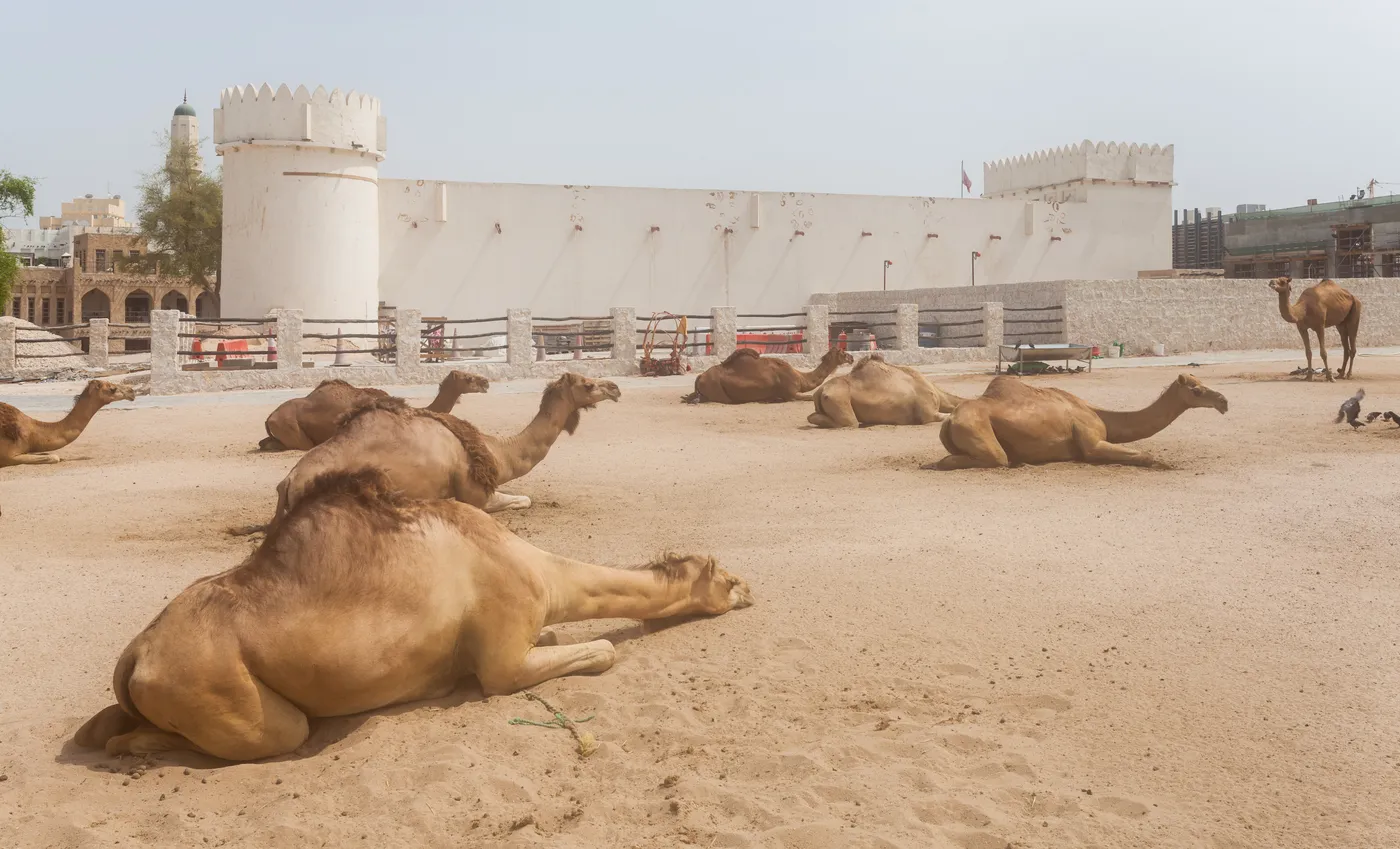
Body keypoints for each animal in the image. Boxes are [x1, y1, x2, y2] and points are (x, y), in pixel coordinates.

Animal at [73, 468, 752, 762]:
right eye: (727, 577)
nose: (748, 591)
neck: (540, 573)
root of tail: (136, 655)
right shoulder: (504, 660)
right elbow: (604, 651)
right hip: (224, 693)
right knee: (274, 734)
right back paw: (133, 749)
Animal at [683, 347, 853, 404]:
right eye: (843, 352)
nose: (851, 358)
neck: (800, 378)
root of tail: (700, 377)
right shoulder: (790, 394)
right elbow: (810, 397)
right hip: (717, 390)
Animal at [807, 354, 966, 428]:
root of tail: (820, 392)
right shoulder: (928, 413)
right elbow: (945, 416)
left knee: (812, 417)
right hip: (839, 399)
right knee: (850, 422)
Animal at [928, 374, 1228, 470]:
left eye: (1202, 383)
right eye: (1196, 390)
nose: (1223, 401)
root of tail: (949, 420)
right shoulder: (1090, 440)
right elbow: (1145, 455)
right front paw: (1165, 464)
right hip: (975, 427)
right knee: (992, 458)